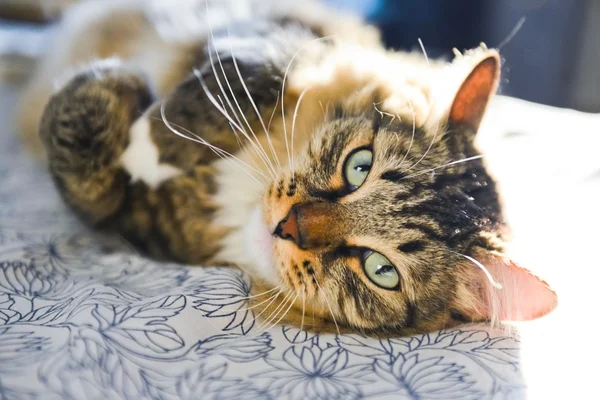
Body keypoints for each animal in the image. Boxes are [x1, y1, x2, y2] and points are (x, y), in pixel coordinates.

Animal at [17, 0, 556, 336]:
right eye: (358, 167)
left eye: (380, 270)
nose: (288, 226)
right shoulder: (279, 35)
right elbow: (252, 76)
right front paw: (146, 125)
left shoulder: (142, 224)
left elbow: (86, 170)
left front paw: (127, 114)